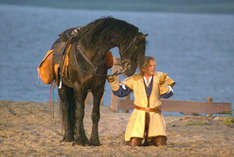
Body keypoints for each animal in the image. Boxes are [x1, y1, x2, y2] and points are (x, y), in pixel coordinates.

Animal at [50, 17, 148, 146]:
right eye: (136, 46)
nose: (130, 70)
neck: (90, 55)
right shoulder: (78, 87)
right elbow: (79, 113)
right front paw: (79, 141)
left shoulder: (98, 88)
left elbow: (95, 114)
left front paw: (94, 140)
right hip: (63, 87)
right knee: (66, 108)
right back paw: (69, 137)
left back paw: (82, 138)